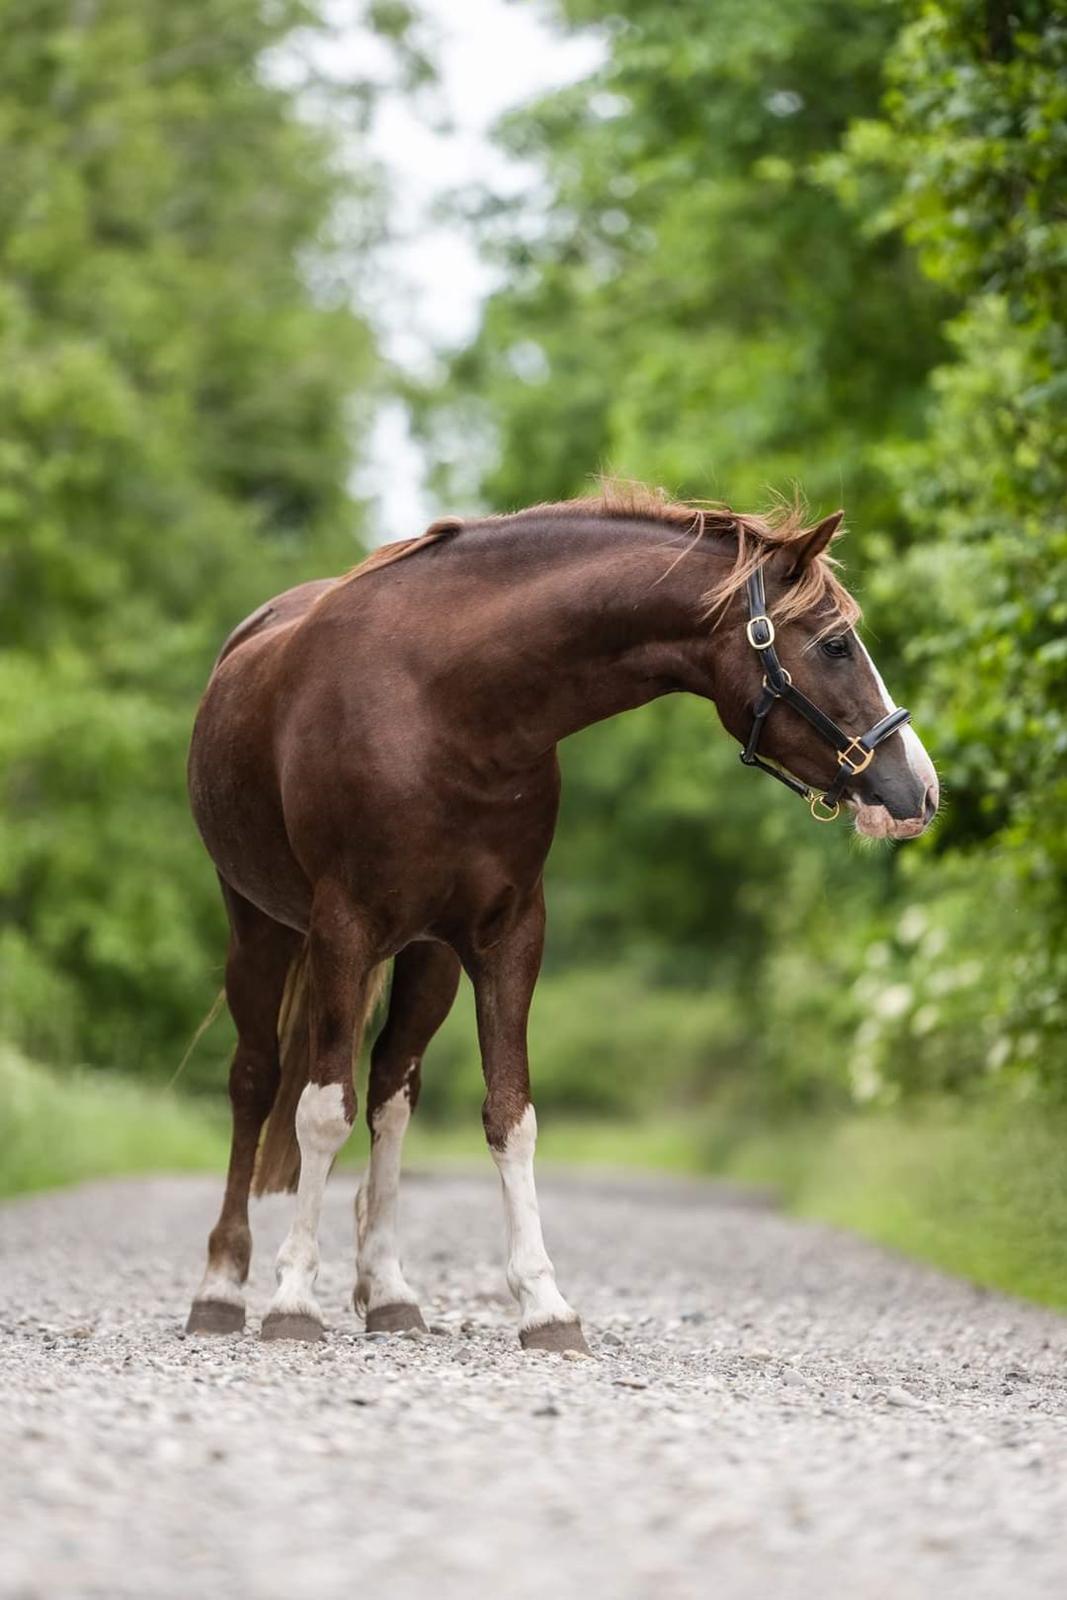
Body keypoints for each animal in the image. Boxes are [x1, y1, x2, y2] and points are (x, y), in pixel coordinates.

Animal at [187, 483, 940, 1350]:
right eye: (836, 644)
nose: (918, 791)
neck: (443, 703)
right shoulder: (341, 928)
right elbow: (319, 1111)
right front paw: (291, 1301)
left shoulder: (506, 935)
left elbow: (509, 1116)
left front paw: (544, 1305)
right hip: (260, 929)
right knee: (255, 1081)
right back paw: (221, 1287)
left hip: (424, 958)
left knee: (391, 1095)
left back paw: (389, 1292)